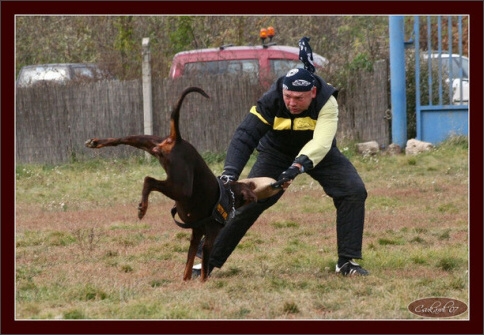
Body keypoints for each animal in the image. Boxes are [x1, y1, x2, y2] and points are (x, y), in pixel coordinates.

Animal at [84, 86, 258, 280]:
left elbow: (188, 264)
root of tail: (178, 140)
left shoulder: (196, 235)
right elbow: (204, 267)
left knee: (122, 139)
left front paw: (185, 281)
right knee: (149, 180)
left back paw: (96, 142)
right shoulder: (210, 237)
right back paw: (143, 207)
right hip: (180, 188)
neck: (230, 195)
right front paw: (204, 283)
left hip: (148, 141)